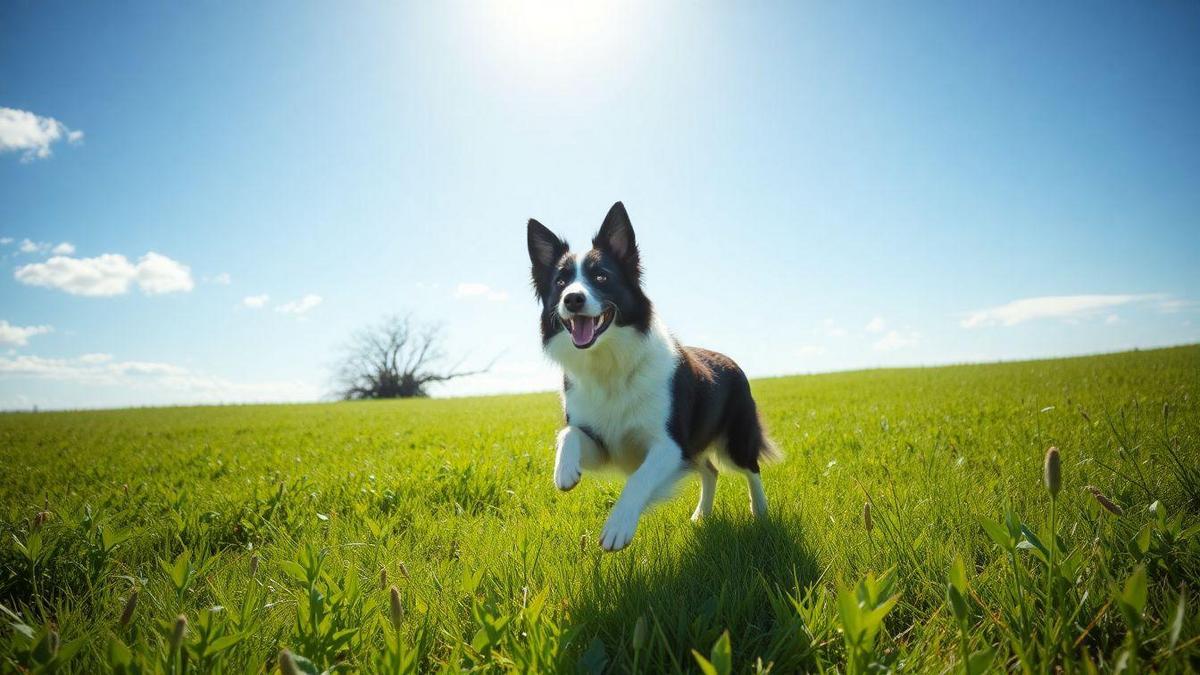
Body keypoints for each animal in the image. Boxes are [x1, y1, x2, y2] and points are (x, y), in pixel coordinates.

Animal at [528, 201, 777, 550]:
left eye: (601, 277)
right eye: (560, 283)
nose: (572, 299)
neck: (609, 365)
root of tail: (729, 359)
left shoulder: (670, 445)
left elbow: (639, 477)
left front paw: (618, 525)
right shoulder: (605, 443)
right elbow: (569, 433)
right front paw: (564, 471)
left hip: (736, 437)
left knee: (750, 468)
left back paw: (761, 511)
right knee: (710, 470)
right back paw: (702, 515)